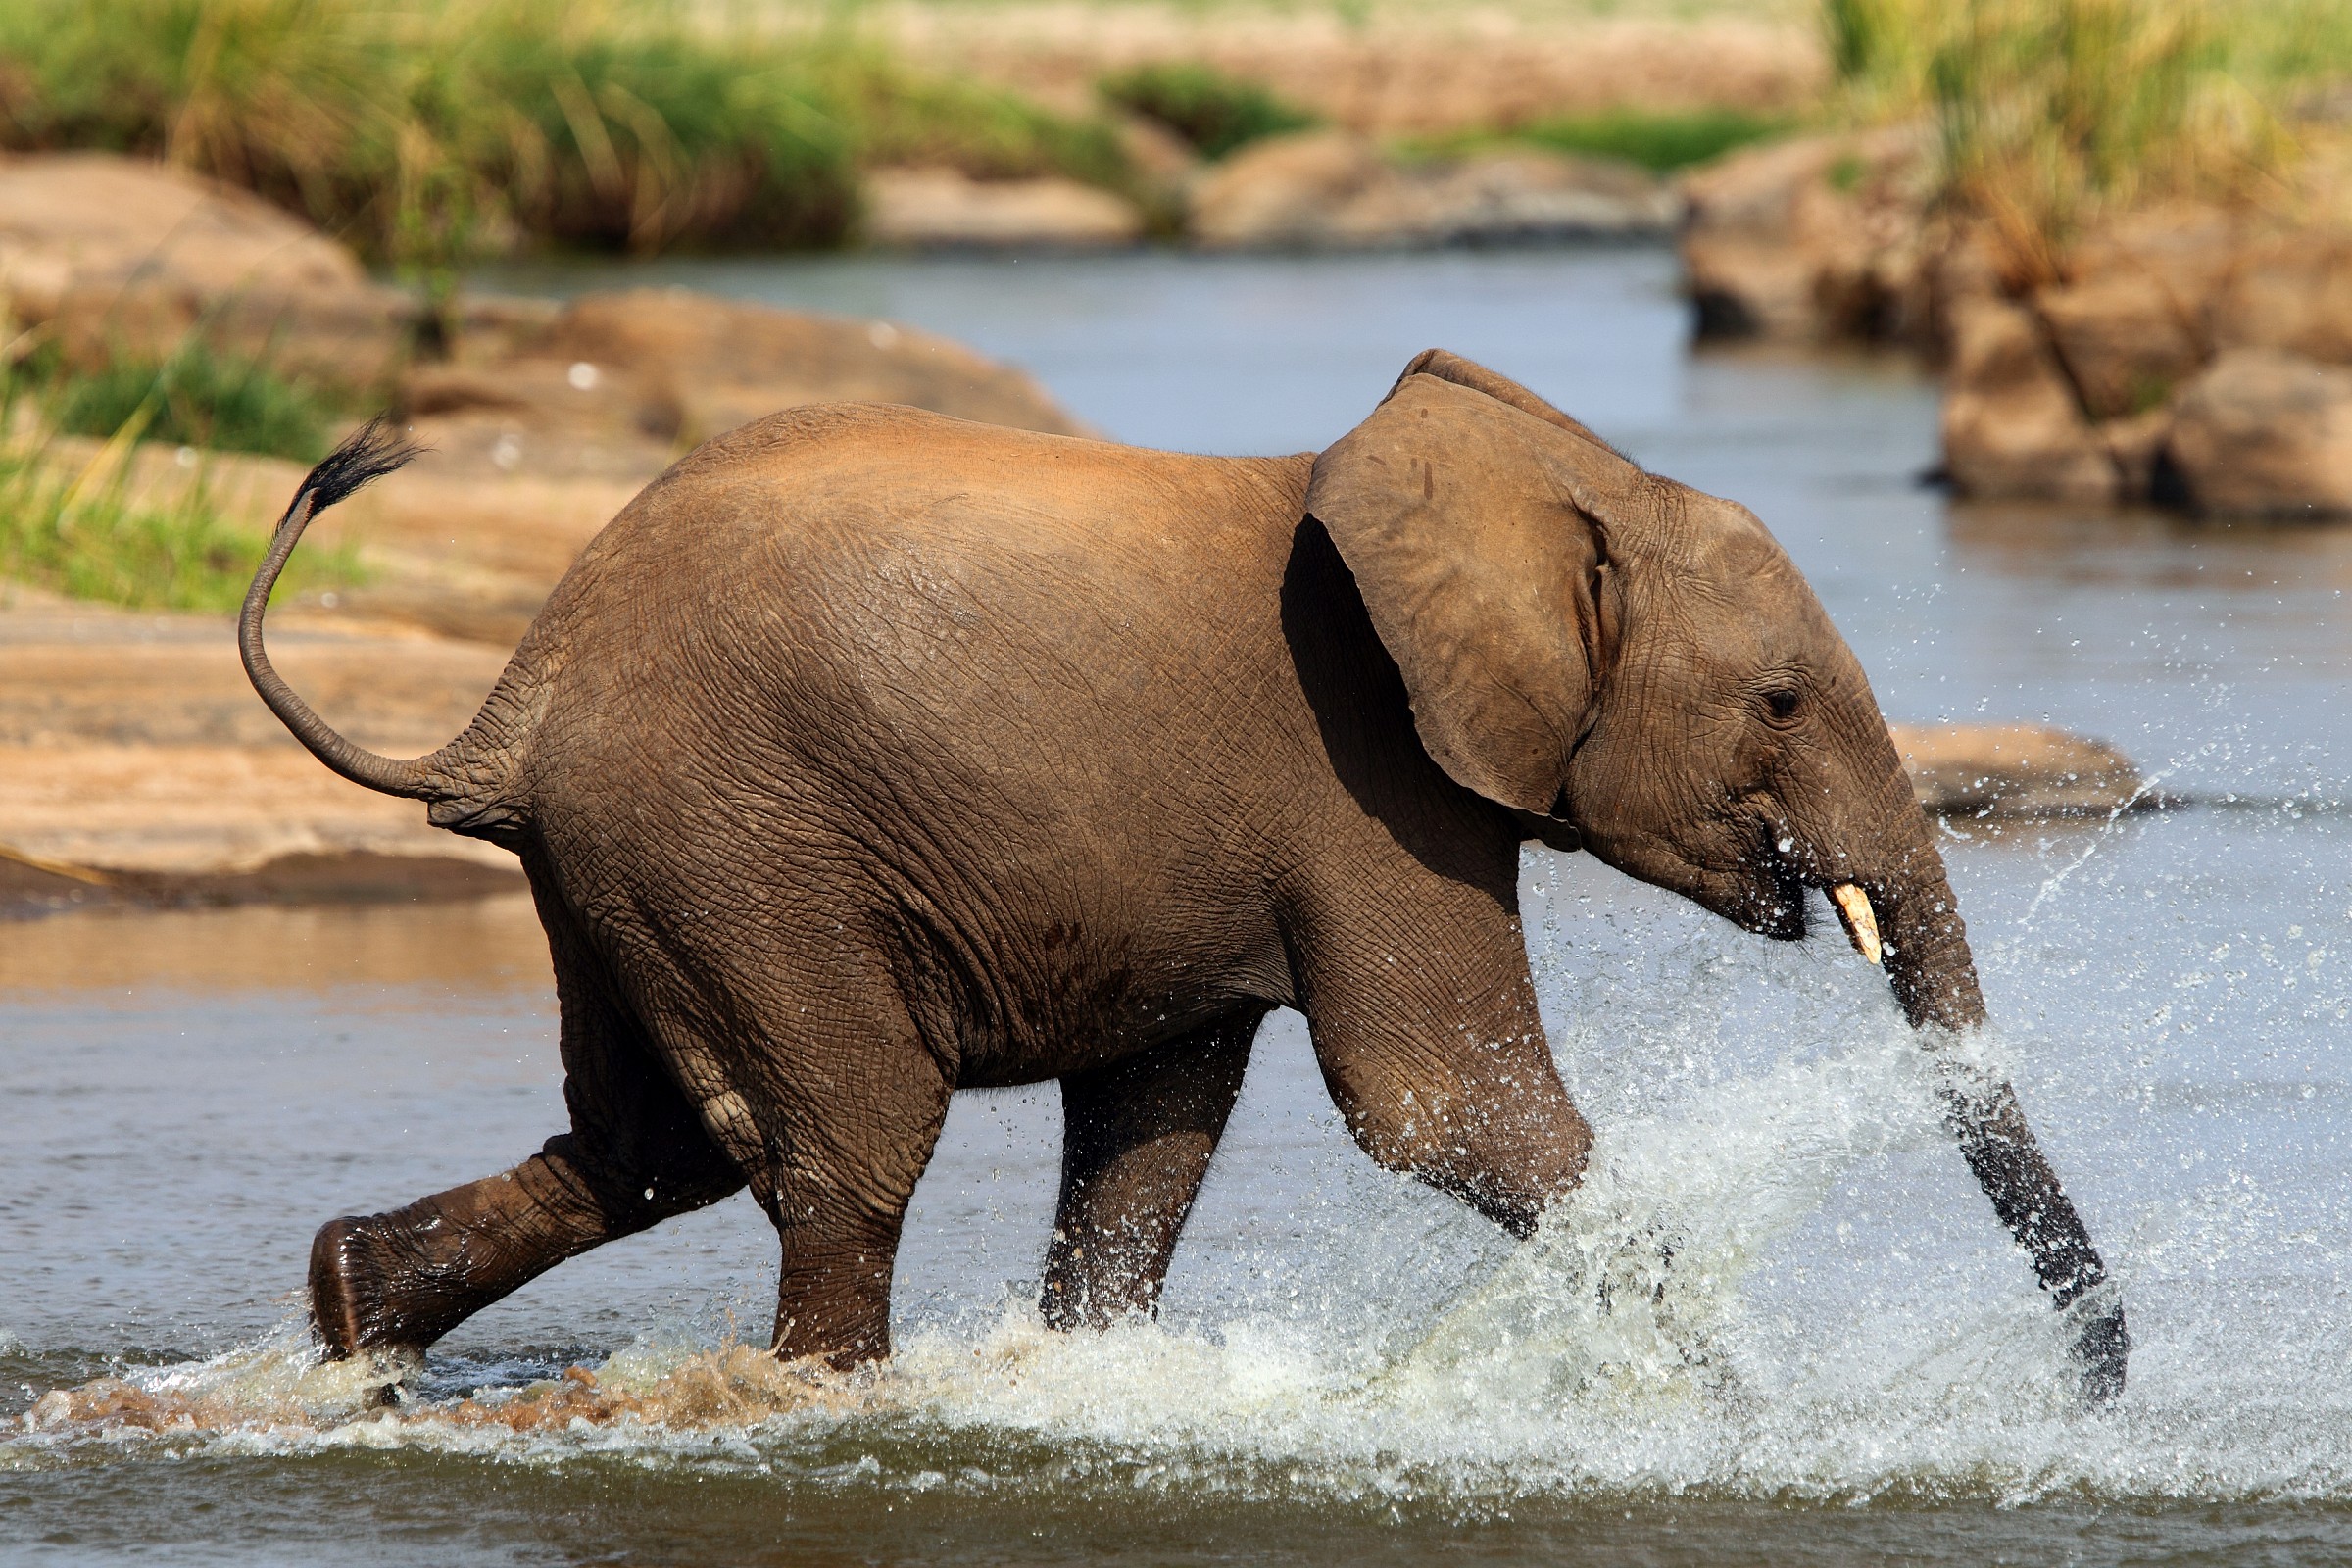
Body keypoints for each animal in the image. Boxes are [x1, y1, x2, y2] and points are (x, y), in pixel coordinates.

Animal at [240, 348, 2128, 1402]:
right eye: (1784, 701)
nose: (2095, 1392)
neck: (1559, 488)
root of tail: (509, 706)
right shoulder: (1365, 772)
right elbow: (1443, 1105)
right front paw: (1745, 1411)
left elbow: (1155, 1128)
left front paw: (1081, 1376)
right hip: (729, 840)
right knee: (844, 1139)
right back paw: (825, 1397)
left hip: (631, 862)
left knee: (649, 1143)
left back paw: (352, 1317)